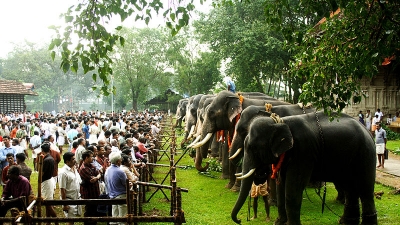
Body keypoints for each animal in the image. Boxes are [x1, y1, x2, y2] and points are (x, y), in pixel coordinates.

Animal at [231, 111, 378, 224]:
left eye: (253, 148)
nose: (240, 220)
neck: (281, 122)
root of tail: (368, 131)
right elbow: (281, 187)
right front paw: (279, 223)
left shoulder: (303, 151)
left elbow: (292, 190)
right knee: (350, 189)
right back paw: (345, 222)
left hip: (365, 154)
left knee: (365, 191)